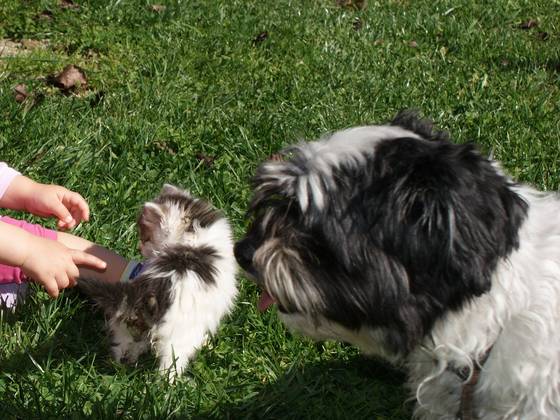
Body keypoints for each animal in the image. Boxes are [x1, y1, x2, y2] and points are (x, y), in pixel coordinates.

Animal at [79, 184, 236, 378]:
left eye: (145, 235)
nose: (140, 247)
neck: (193, 230)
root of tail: (149, 288)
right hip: (178, 336)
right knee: (171, 364)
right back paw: (168, 384)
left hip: (125, 320)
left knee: (126, 342)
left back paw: (125, 361)